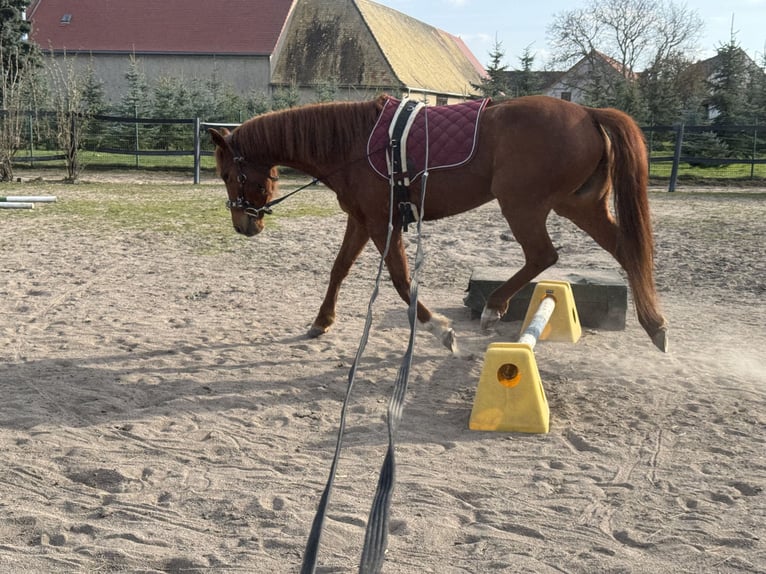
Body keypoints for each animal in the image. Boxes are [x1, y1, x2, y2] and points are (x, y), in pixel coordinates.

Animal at [209, 94, 668, 353]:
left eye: (228, 174)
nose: (243, 225)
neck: (353, 143)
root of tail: (587, 112)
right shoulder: (361, 219)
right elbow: (339, 269)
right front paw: (321, 322)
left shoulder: (383, 223)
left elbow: (400, 280)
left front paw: (438, 330)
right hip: (579, 206)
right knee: (627, 249)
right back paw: (655, 325)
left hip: (523, 206)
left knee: (543, 255)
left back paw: (494, 306)